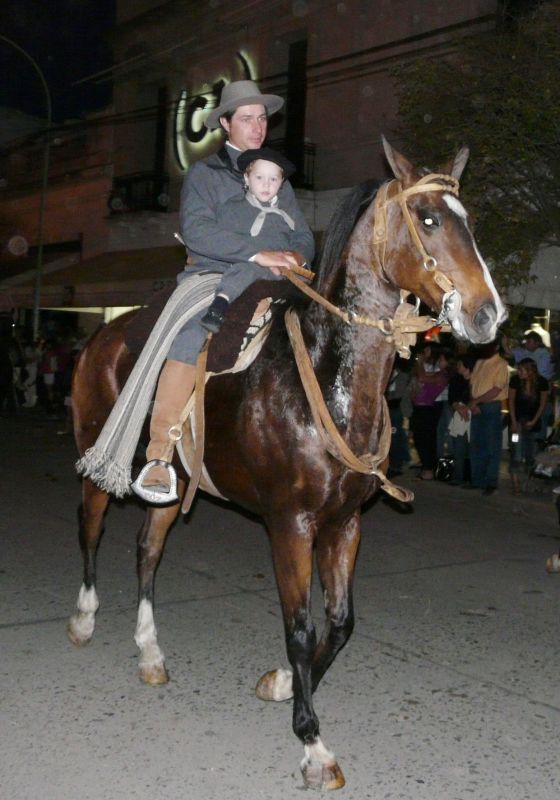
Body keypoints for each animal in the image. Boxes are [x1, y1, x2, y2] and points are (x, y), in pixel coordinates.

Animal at [66, 141, 508, 792]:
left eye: (468, 220)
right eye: (428, 218)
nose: (488, 315)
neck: (327, 378)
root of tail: (104, 334)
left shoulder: (345, 523)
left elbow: (340, 621)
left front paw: (281, 687)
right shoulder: (290, 525)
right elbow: (300, 627)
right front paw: (312, 743)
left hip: (175, 483)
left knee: (148, 550)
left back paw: (149, 651)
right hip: (98, 456)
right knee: (92, 528)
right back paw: (83, 618)